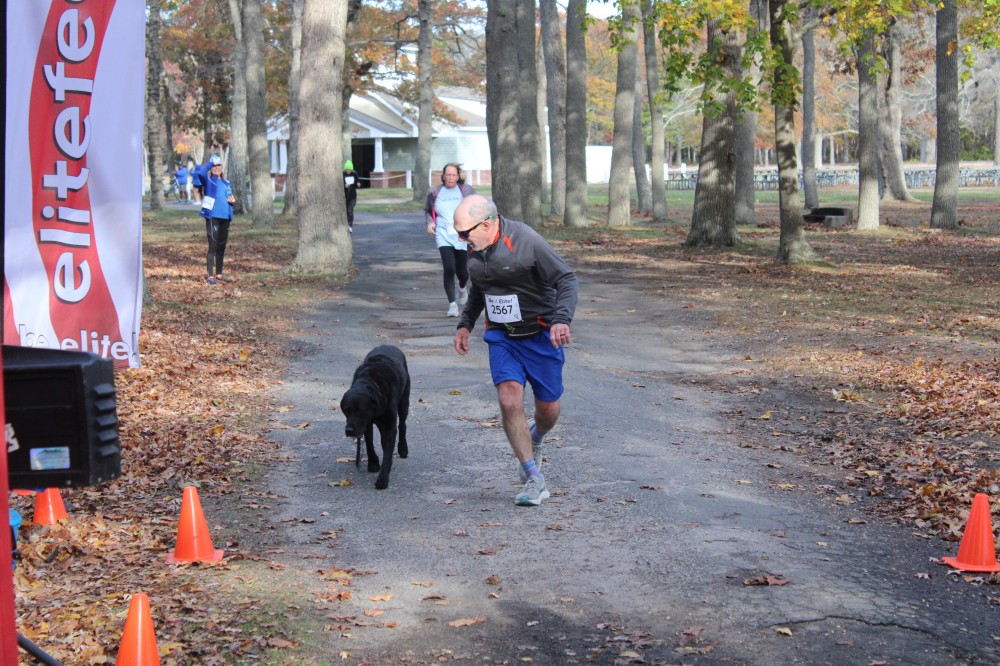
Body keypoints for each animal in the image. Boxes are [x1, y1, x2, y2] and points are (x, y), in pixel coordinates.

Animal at [339, 345, 410, 489]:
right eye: (347, 411)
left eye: (360, 410)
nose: (349, 431)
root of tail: (389, 345)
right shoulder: (366, 424)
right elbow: (369, 443)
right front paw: (373, 463)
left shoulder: (389, 425)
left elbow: (387, 453)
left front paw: (383, 478)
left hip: (404, 401)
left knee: (402, 425)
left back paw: (403, 448)